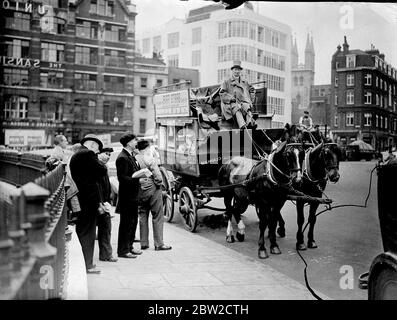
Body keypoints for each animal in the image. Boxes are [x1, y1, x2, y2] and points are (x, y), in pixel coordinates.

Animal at [217, 124, 304, 258]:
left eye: (302, 153)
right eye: (289, 154)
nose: (298, 178)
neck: (270, 174)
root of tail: (228, 162)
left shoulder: (278, 203)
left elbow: (272, 222)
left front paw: (274, 246)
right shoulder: (263, 203)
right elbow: (263, 223)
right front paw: (262, 249)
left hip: (241, 197)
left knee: (235, 210)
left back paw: (240, 232)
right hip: (227, 193)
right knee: (229, 210)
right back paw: (229, 235)